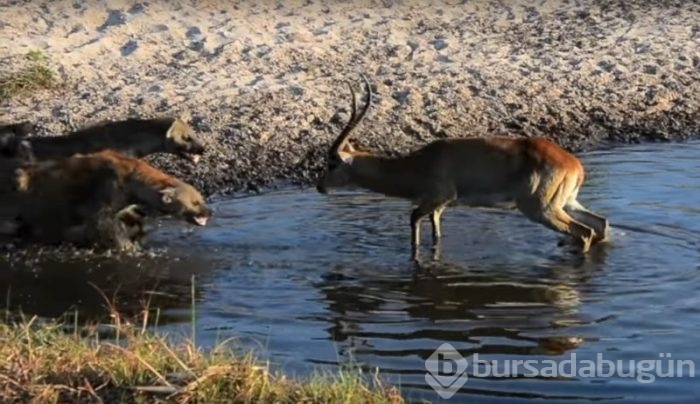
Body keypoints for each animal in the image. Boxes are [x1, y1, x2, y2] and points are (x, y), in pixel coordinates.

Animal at [314, 76, 608, 256]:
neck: (416, 165)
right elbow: (435, 232)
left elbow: (412, 220)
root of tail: (574, 164)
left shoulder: (437, 198)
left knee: (584, 232)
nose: (319, 187)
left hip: (541, 209)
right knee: (600, 224)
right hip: (566, 203)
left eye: (331, 162)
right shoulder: (439, 207)